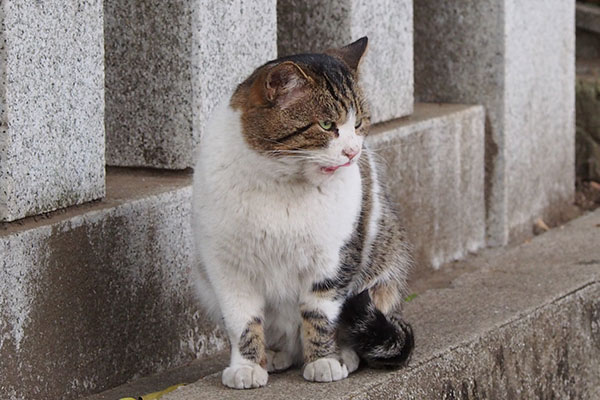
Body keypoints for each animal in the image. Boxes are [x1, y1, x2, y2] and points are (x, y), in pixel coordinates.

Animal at [192, 36, 412, 388]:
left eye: (358, 123)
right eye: (326, 125)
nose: (353, 151)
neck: (282, 182)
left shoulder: (333, 258)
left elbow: (318, 313)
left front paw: (323, 361)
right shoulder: (227, 267)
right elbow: (242, 320)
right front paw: (247, 367)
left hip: (384, 275)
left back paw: (343, 354)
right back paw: (276, 355)